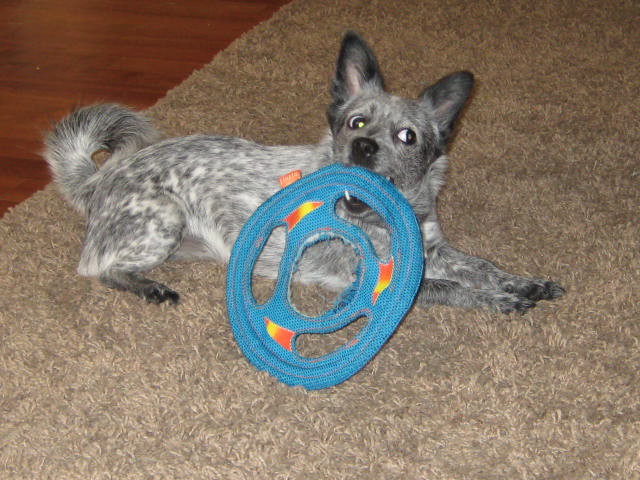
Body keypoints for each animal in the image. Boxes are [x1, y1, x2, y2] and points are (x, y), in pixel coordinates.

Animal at [45, 31, 564, 314]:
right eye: (356, 122)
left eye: (407, 136)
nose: (362, 146)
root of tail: (103, 175)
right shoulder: (369, 281)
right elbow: (451, 287)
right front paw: (500, 300)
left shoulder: (434, 250)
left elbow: (482, 266)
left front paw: (524, 283)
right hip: (162, 223)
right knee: (97, 268)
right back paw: (149, 286)